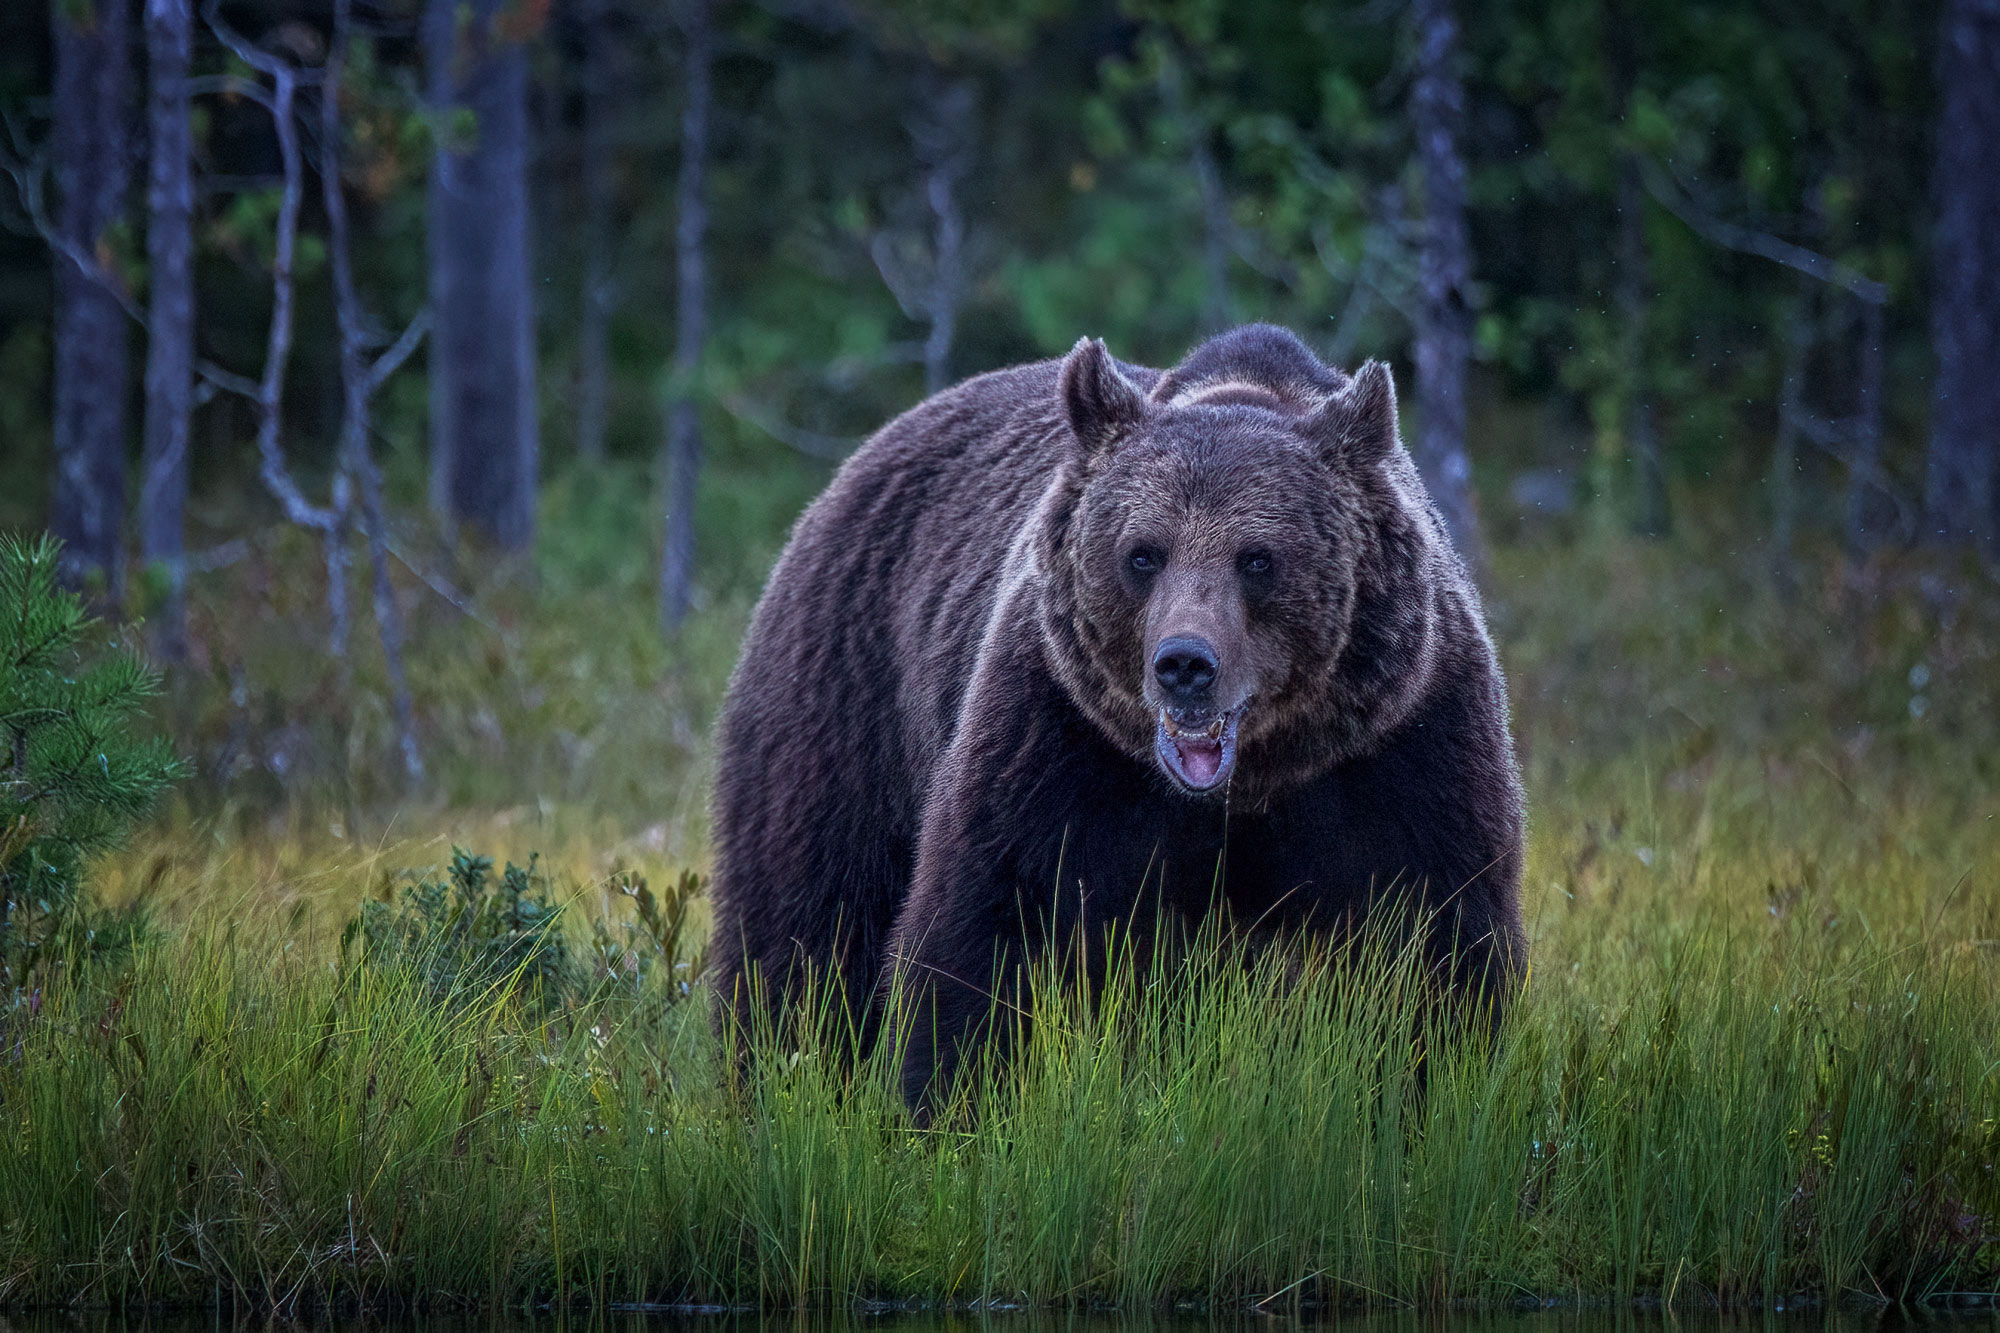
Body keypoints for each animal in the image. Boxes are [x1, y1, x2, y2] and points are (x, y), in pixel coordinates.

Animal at [712, 322, 1520, 1096]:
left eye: (1258, 558)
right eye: (1143, 554)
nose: (1185, 664)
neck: (1246, 786)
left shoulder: (1400, 752)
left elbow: (1441, 949)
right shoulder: (1060, 743)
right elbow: (983, 929)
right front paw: (943, 1100)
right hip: (847, 690)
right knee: (807, 923)